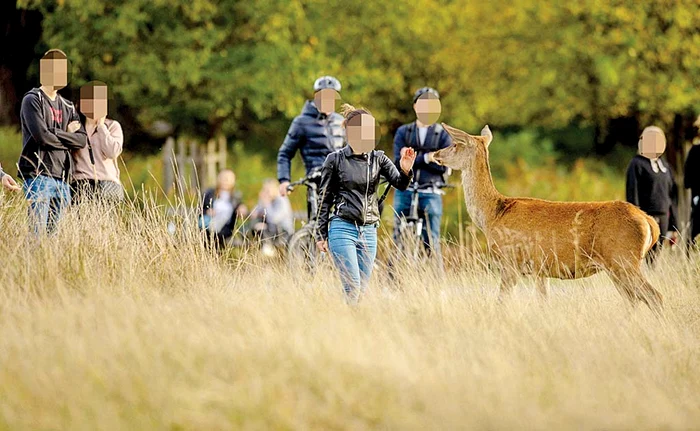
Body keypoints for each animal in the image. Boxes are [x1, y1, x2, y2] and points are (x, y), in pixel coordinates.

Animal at [434, 123, 664, 312]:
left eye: (455, 144)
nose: (435, 153)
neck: (492, 214)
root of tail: (649, 222)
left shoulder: (510, 261)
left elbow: (500, 303)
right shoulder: (540, 269)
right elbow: (543, 302)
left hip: (623, 259)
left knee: (654, 296)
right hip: (618, 266)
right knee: (634, 299)